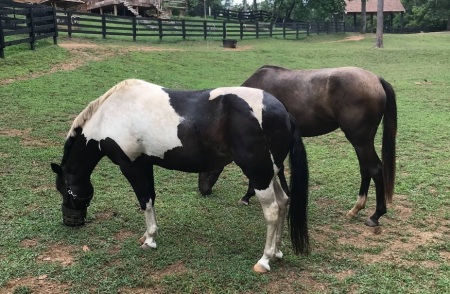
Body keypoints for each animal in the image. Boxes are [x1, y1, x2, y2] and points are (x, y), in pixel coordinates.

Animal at [50, 78, 310, 274]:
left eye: (64, 189)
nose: (70, 221)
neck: (110, 114)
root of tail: (283, 112)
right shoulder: (145, 163)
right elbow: (151, 198)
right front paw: (148, 235)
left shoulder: (130, 165)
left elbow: (144, 200)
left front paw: (150, 240)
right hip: (272, 171)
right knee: (284, 201)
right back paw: (277, 251)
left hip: (258, 173)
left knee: (272, 210)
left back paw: (264, 260)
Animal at [199, 65, 396, 227]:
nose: (203, 190)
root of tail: (376, 79)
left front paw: (248, 196)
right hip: (360, 143)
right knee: (366, 169)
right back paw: (356, 209)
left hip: (360, 141)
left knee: (375, 169)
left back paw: (375, 215)